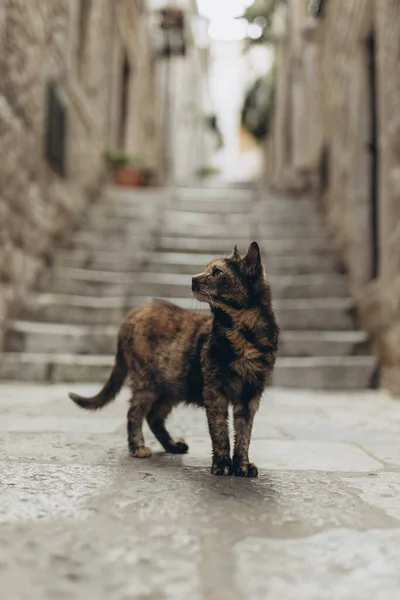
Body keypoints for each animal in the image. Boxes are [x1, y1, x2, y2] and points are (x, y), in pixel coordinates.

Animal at [69, 241, 280, 476]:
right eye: (206, 269)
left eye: (217, 272)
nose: (193, 278)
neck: (241, 332)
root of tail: (134, 312)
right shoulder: (215, 391)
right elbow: (220, 432)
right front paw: (222, 465)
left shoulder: (251, 394)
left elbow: (244, 434)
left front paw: (242, 465)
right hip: (147, 381)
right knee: (135, 413)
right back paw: (138, 448)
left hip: (171, 386)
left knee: (153, 416)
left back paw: (172, 446)